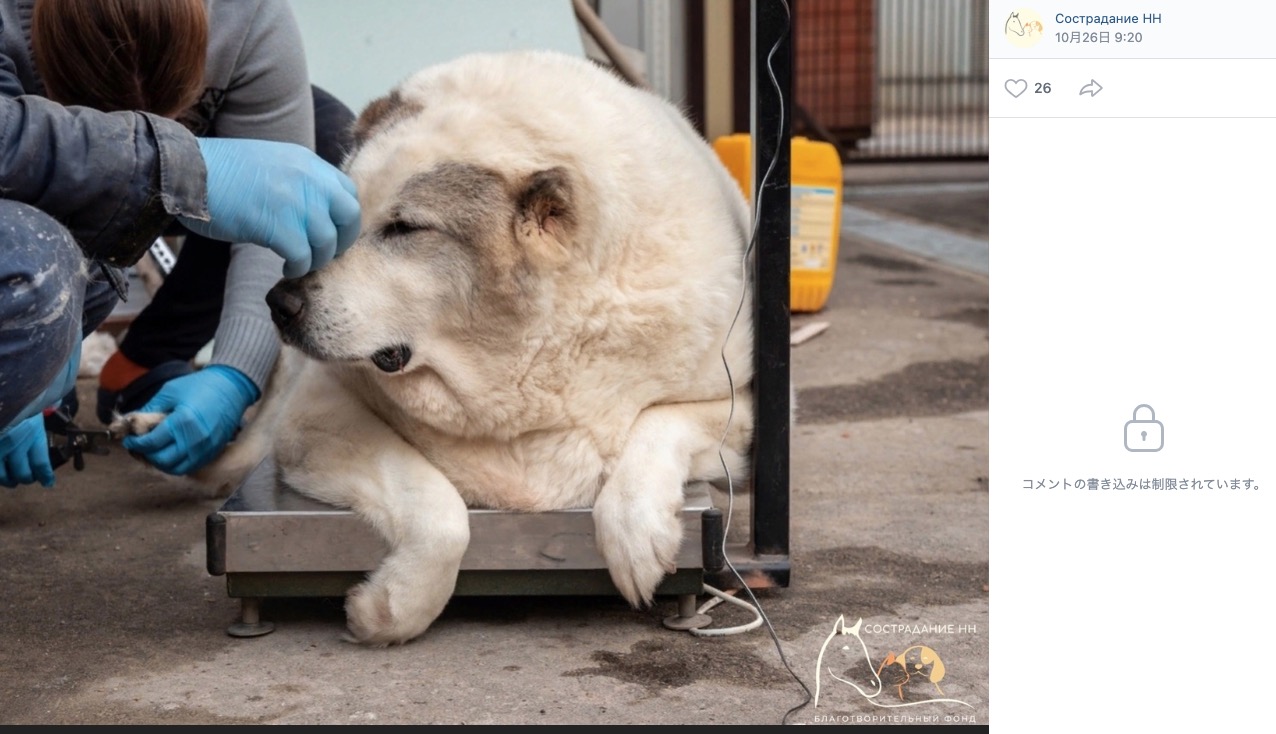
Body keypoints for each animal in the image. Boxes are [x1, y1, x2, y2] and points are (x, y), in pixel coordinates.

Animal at [123, 48, 750, 643]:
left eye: (404, 229)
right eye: (338, 219)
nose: (280, 302)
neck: (518, 360)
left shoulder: (737, 403)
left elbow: (658, 425)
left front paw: (636, 536)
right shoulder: (316, 418)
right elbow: (439, 511)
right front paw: (391, 609)